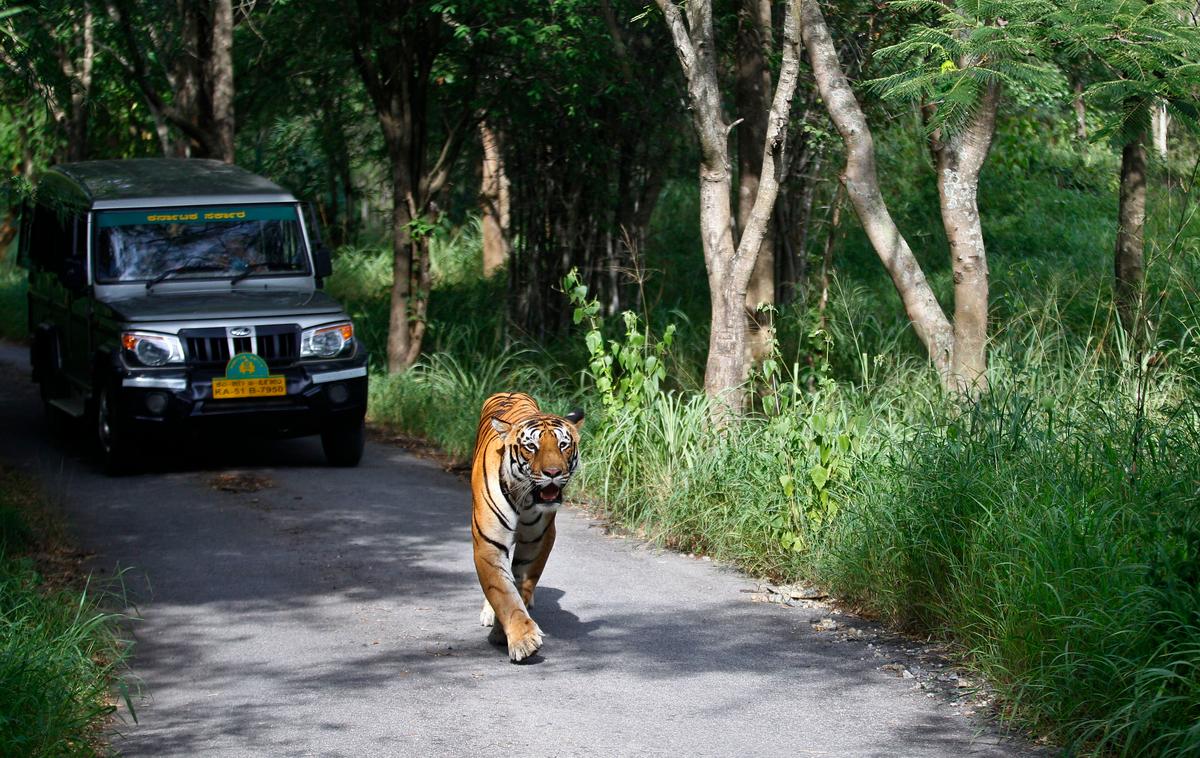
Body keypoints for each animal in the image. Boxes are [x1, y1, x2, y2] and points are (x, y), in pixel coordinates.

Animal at [471, 392, 584, 662]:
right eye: (531, 447)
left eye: (563, 445)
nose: (553, 472)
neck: (524, 498)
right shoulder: (488, 544)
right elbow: (503, 593)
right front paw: (523, 641)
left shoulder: (536, 541)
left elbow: (520, 586)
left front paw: (506, 634)